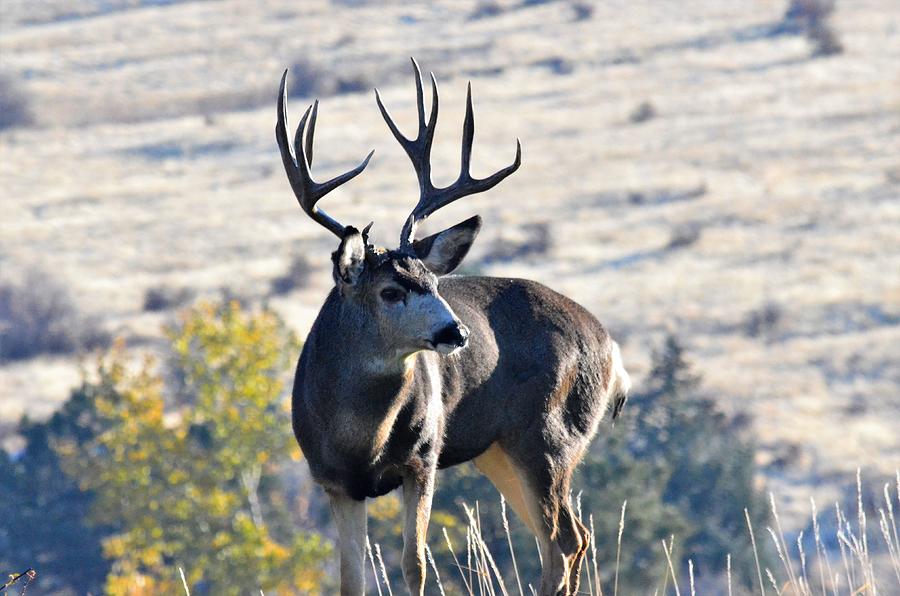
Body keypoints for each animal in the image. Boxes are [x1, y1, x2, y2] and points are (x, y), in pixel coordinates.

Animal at [278, 59, 628, 596]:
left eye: (433, 280)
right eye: (390, 291)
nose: (457, 333)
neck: (362, 436)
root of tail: (611, 349)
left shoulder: (423, 457)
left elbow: (415, 564)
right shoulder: (334, 480)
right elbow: (350, 578)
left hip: (550, 434)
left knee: (563, 541)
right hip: (499, 451)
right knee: (571, 536)